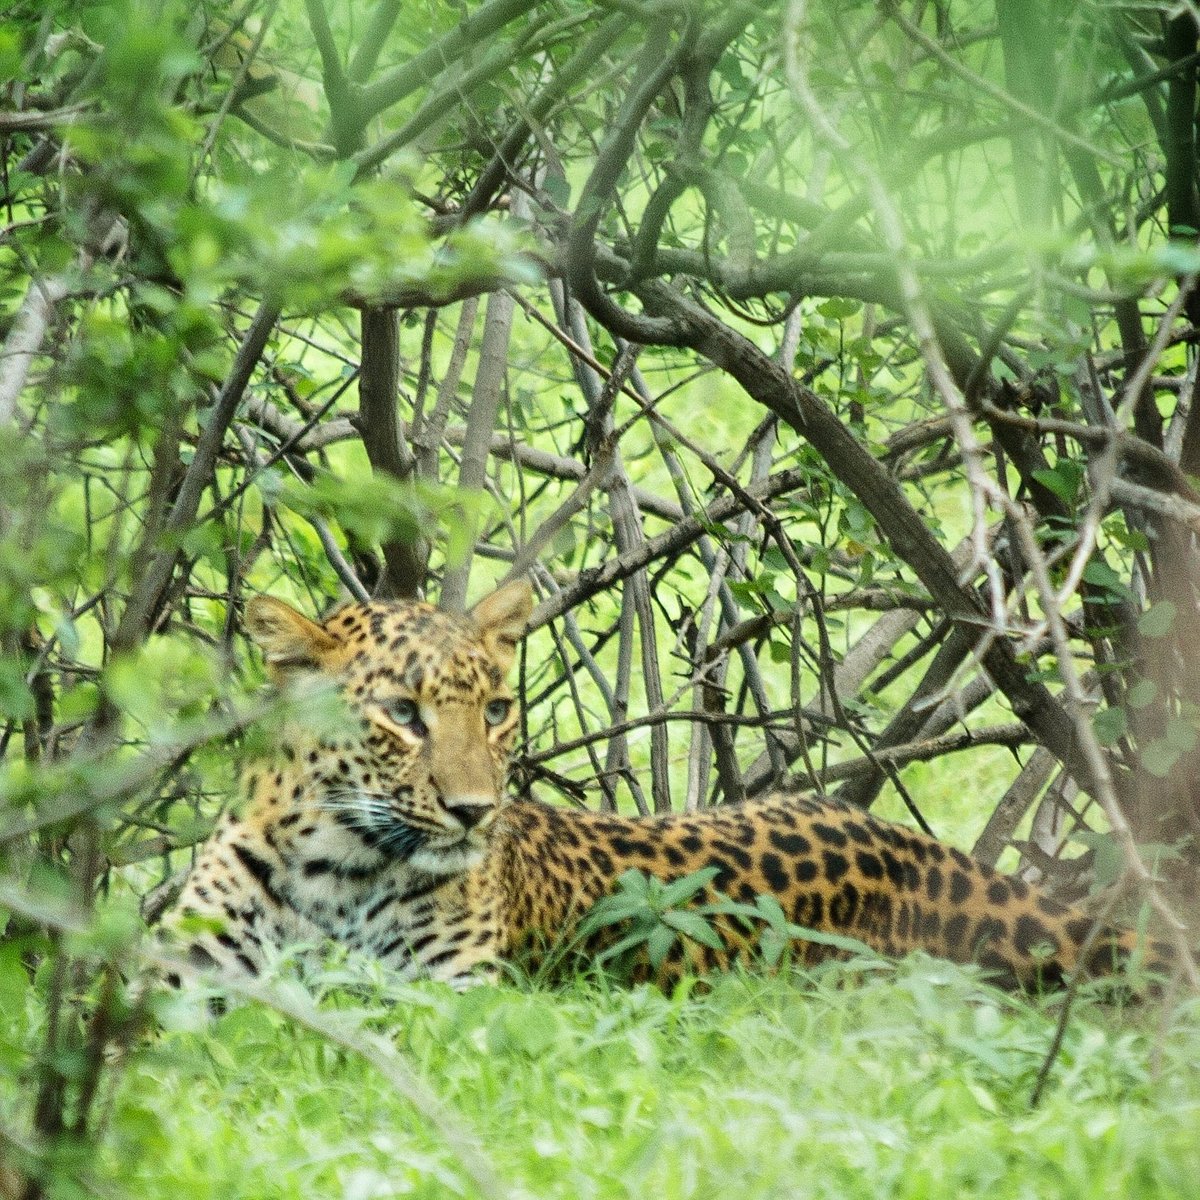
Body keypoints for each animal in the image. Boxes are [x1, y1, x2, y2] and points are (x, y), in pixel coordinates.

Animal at [164, 580, 1176, 993]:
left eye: (495, 710)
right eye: (404, 715)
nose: (475, 812)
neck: (332, 870)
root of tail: (931, 856)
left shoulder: (451, 1000)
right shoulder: (177, 988)